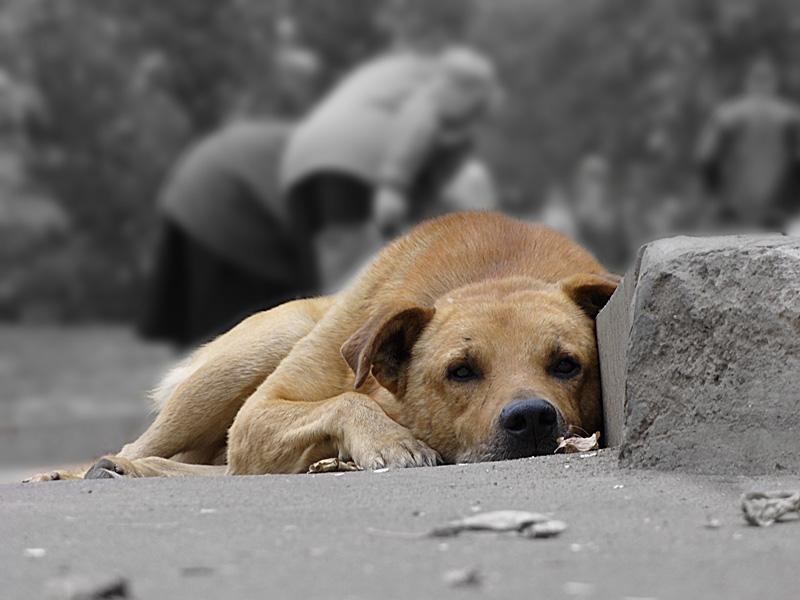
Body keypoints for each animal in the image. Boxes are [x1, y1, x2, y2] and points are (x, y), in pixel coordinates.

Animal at [23, 212, 612, 482]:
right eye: (461, 371)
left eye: (567, 364)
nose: (531, 418)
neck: (497, 273)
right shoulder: (260, 412)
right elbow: (345, 398)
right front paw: (390, 441)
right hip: (254, 355)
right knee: (145, 447)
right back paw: (89, 469)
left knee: (224, 470)